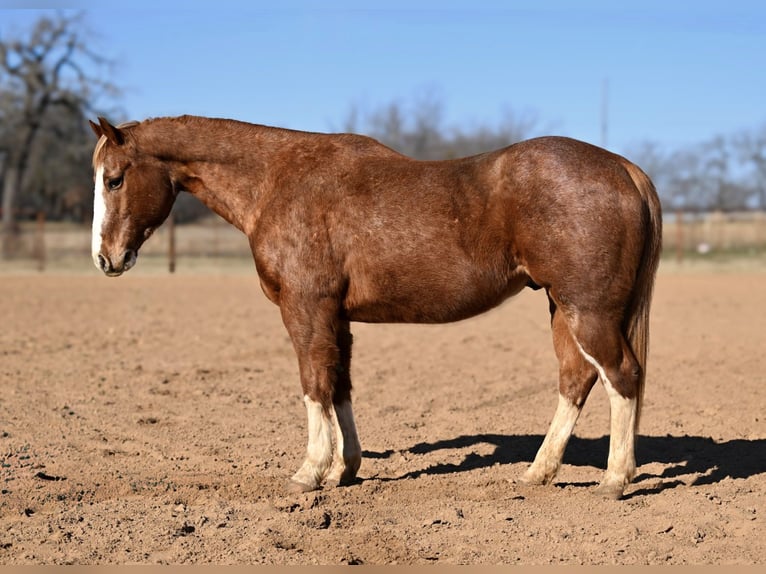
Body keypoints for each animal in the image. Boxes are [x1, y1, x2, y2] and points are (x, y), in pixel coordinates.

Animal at [89, 115, 662, 500]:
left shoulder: (306, 309)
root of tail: (624, 168)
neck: (277, 180)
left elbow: (314, 383)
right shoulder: (337, 317)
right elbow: (339, 385)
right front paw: (346, 468)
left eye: (114, 179)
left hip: (587, 311)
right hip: (563, 309)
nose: (105, 258)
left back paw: (615, 479)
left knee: (622, 375)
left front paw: (310, 472)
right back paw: (538, 473)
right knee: (576, 380)